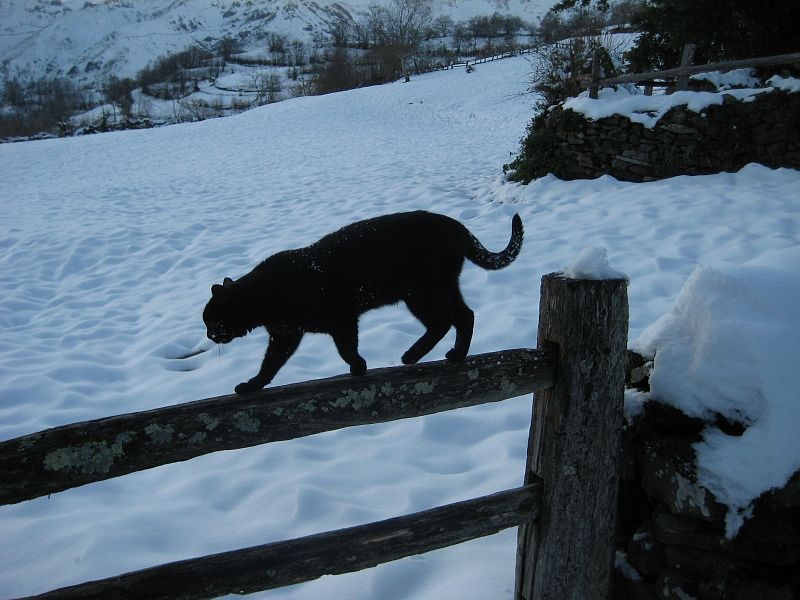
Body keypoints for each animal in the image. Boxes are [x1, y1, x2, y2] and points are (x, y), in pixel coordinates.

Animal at [203, 211, 520, 394]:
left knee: (449, 319)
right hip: (434, 290)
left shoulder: (341, 319)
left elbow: (346, 348)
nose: (208, 335)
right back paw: (443, 355)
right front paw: (252, 385)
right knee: (462, 316)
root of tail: (458, 227)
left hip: (423, 291)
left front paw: (358, 367)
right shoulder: (286, 335)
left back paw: (423, 355)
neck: (265, 296)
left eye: (211, 320)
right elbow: (270, 365)